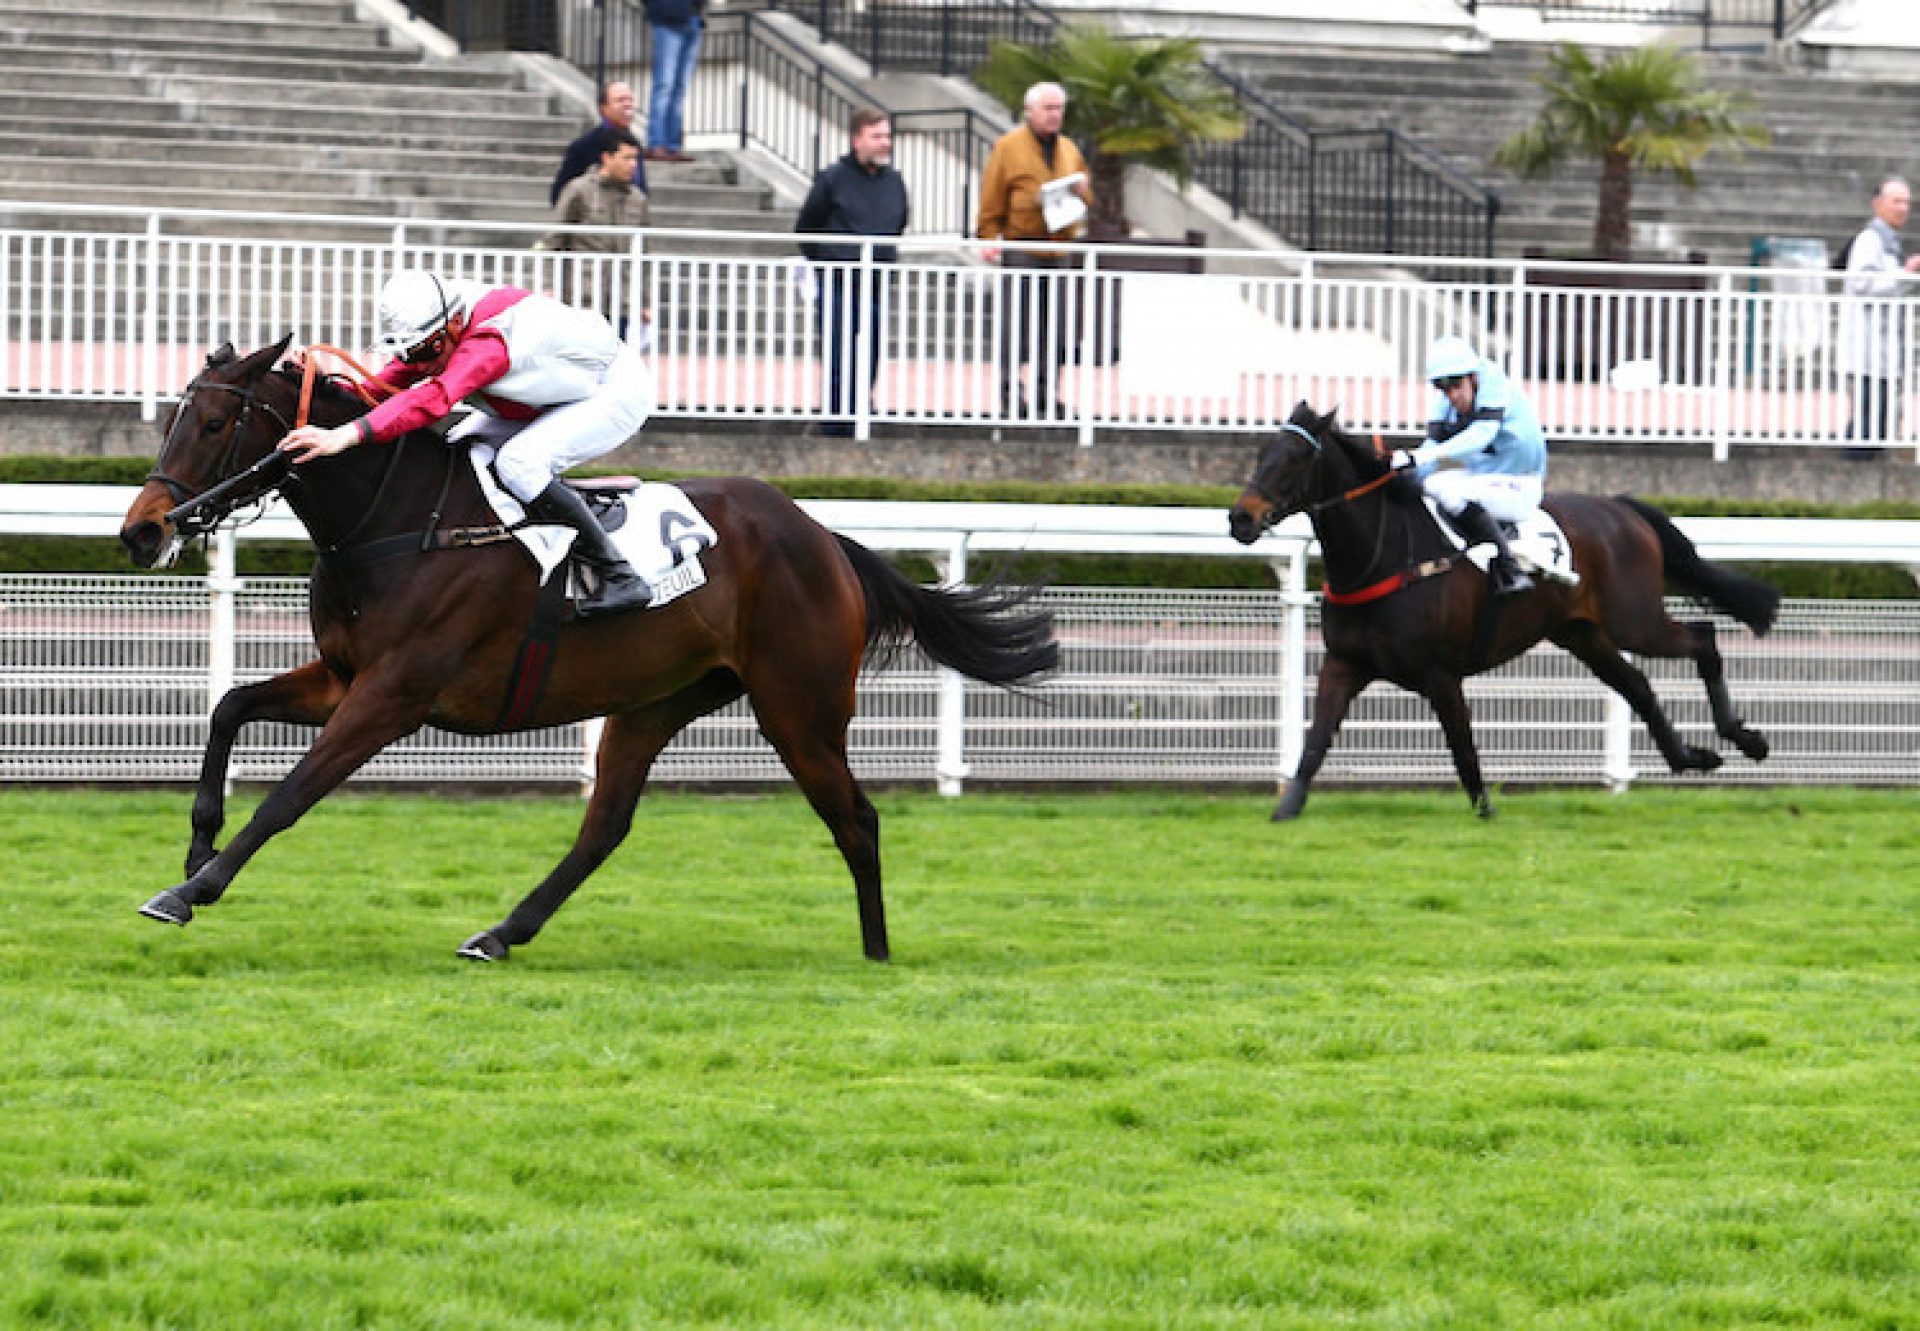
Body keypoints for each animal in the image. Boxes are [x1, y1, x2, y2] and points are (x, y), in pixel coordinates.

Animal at [116, 338, 1067, 960]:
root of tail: (824, 536)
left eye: (212, 422)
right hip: (656, 701)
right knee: (605, 824)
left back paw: (877, 953)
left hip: (797, 707)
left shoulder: (393, 695)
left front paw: (190, 891)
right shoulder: (345, 675)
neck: (402, 518)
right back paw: (501, 932)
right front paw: (197, 845)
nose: (142, 530)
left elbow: (292, 795)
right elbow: (229, 705)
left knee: (856, 818)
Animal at [1228, 401, 1781, 822]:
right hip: (1583, 632)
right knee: (1637, 685)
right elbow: (1315, 740)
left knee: (1703, 638)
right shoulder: (1344, 663)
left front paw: (1485, 810)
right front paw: (1287, 809)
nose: (1239, 518)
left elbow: (1462, 745)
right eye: (1260, 454)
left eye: (1295, 459)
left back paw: (1745, 738)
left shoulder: (1440, 672)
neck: (1385, 556)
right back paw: (1691, 757)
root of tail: (1622, 507)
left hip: (1635, 620)